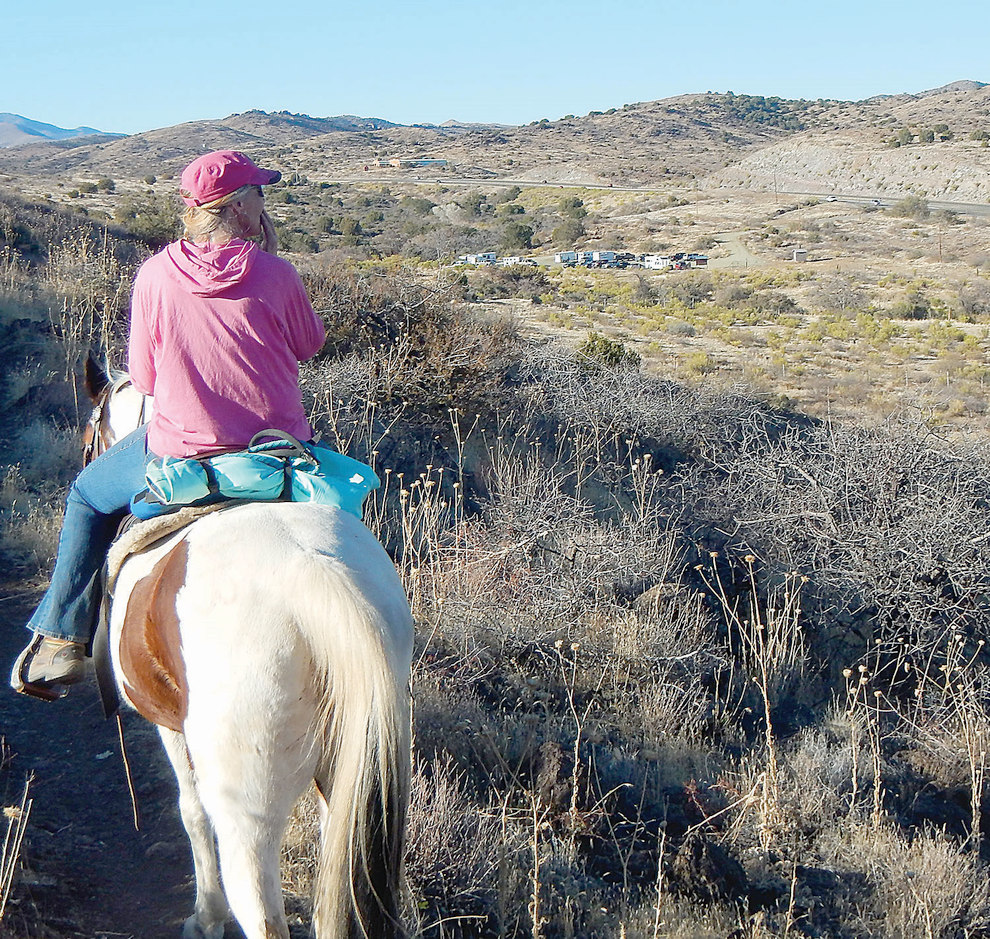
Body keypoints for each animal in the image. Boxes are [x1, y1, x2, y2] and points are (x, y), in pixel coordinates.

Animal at [82, 356, 414, 936]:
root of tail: (314, 576)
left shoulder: (172, 728)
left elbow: (190, 812)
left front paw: (204, 915)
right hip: (353, 778)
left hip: (248, 807)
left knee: (258, 907)